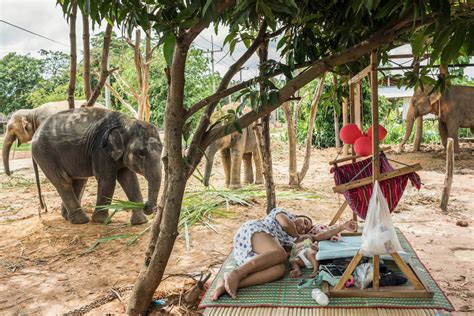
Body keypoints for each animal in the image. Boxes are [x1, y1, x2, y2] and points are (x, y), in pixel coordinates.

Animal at [31, 107, 162, 225]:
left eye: (162, 149)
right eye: (141, 153)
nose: (146, 206)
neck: (125, 123)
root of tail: (35, 133)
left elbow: (130, 179)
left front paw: (140, 222)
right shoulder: (101, 149)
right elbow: (107, 180)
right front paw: (102, 221)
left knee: (77, 180)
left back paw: (67, 218)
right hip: (44, 154)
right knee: (63, 181)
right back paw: (81, 221)